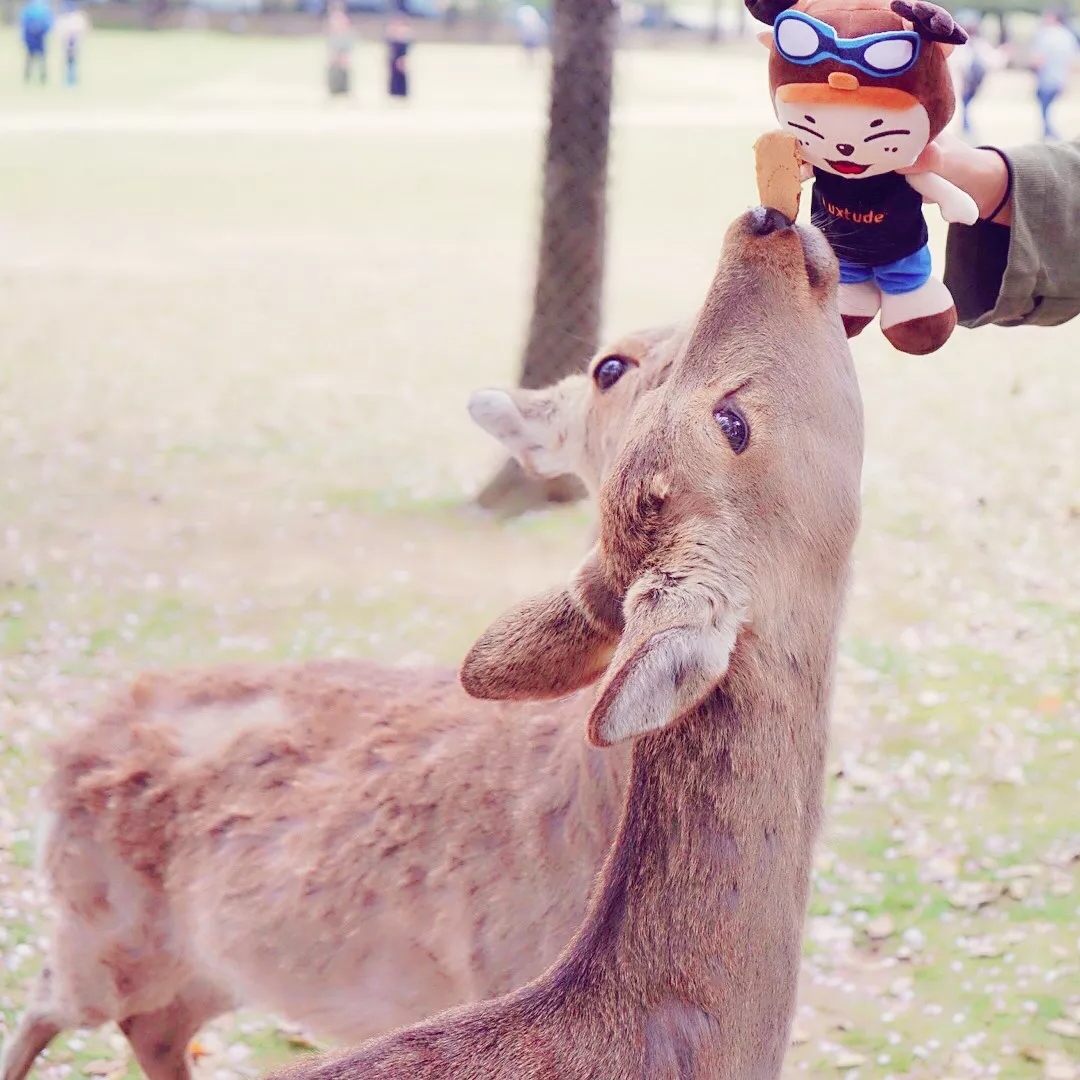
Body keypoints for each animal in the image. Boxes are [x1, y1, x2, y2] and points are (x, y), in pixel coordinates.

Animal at [2, 321, 691, 1080]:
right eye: (610, 366)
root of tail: (63, 754)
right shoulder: (500, 976)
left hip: (205, 964)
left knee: (155, 1024)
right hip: (99, 922)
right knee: (51, 998)